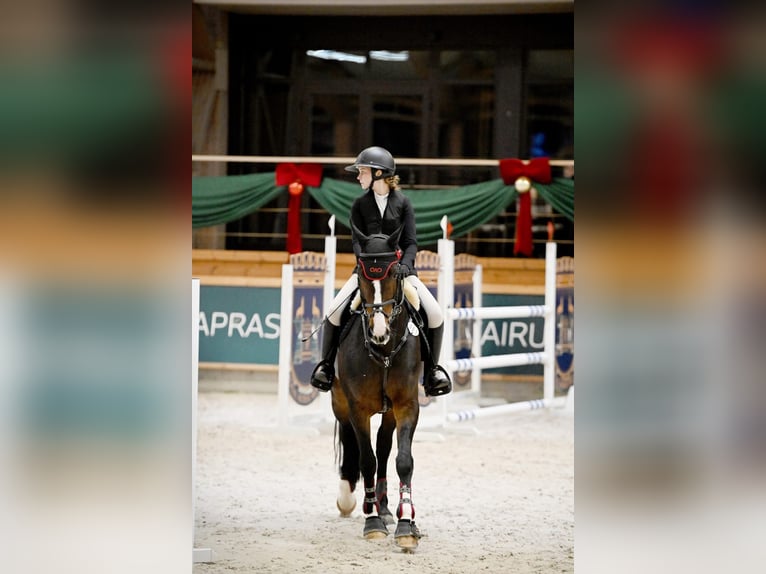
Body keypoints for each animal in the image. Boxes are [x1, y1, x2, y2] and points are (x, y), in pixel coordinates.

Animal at [331, 224, 424, 551]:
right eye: (361, 276)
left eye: (395, 273)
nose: (379, 332)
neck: (383, 351)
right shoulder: (357, 408)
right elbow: (366, 460)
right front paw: (372, 523)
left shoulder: (407, 406)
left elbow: (403, 461)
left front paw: (407, 523)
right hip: (340, 403)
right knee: (353, 444)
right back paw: (352, 500)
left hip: (389, 412)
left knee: (384, 448)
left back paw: (384, 508)